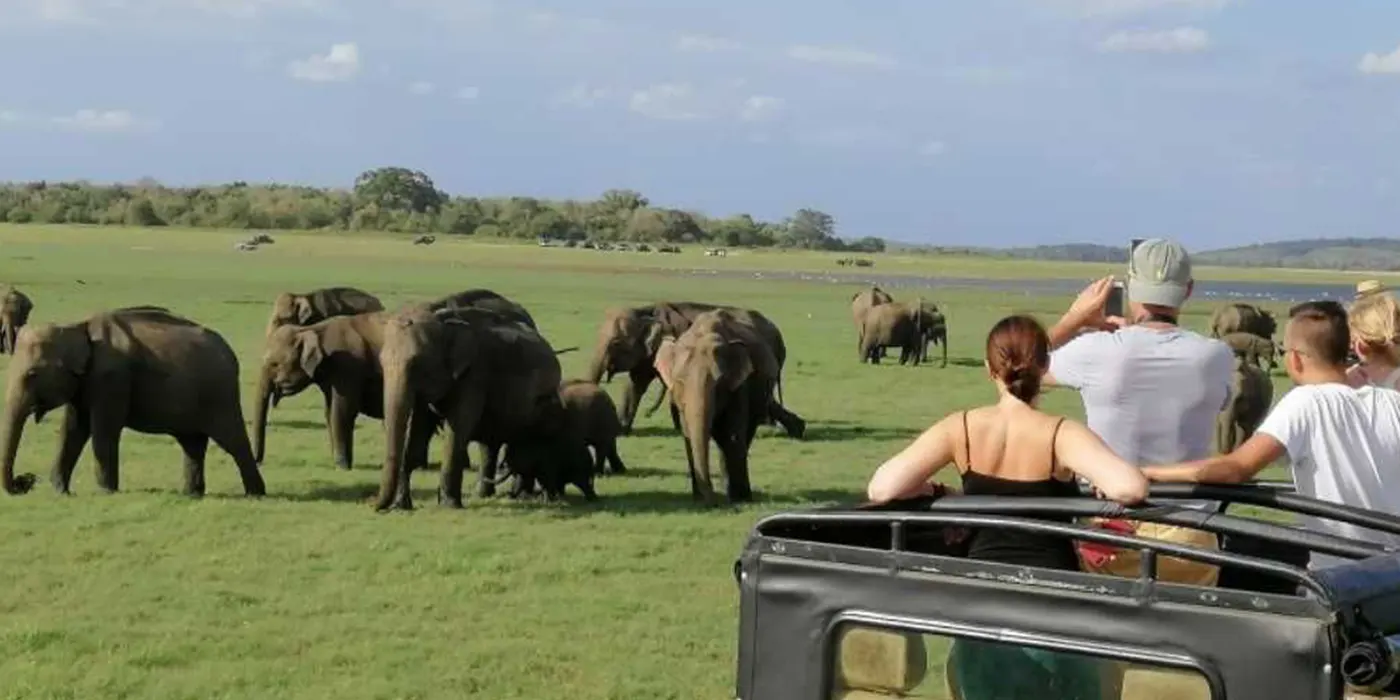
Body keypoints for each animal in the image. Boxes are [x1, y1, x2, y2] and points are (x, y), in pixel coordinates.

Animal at [0, 306, 266, 498]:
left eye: (32, 374)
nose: (25, 481)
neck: (77, 327)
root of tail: (230, 354)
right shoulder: (84, 383)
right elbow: (73, 430)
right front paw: (61, 492)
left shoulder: (111, 378)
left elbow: (103, 430)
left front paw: (106, 492)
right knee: (192, 444)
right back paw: (192, 494)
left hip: (220, 395)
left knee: (232, 441)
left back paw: (255, 494)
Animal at [378, 305, 568, 509]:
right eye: (381, 363)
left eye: (416, 363)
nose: (375, 506)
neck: (444, 323)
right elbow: (418, 432)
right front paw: (400, 506)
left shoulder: (474, 376)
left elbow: (457, 429)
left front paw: (449, 505)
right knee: (491, 445)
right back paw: (486, 495)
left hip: (542, 405)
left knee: (527, 441)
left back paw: (523, 496)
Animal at [585, 299, 806, 436]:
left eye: (615, 343)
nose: (648, 413)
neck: (646, 311)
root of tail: (777, 332)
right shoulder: (648, 354)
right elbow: (635, 385)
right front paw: (622, 430)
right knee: (767, 399)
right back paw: (796, 429)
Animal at [649, 309, 784, 506]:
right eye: (680, 381)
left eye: (719, 384)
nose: (712, 501)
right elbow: (688, 434)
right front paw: (698, 499)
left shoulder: (740, 386)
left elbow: (733, 433)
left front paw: (738, 499)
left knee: (744, 434)